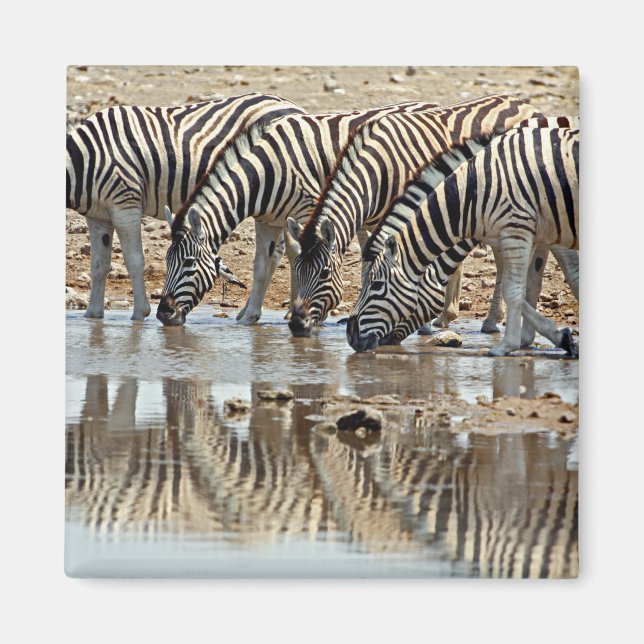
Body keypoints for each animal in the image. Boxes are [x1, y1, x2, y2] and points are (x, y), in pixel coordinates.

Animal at [66, 92, 302, 320]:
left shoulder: (125, 203)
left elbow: (134, 260)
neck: (86, 159)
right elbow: (99, 266)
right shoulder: (98, 217)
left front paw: (140, 314)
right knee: (280, 253)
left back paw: (288, 311)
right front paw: (93, 315)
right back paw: (257, 311)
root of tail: (293, 105)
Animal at [154, 100, 445, 327]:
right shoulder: (267, 221)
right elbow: (262, 267)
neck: (265, 172)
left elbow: (302, 259)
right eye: (167, 261)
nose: (163, 314)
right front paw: (250, 316)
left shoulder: (309, 211)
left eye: (188, 263)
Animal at [285, 94, 544, 338]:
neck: (379, 170)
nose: (297, 325)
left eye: (324, 274)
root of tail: (525, 103)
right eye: (296, 270)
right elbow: (371, 265)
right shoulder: (370, 223)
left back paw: (490, 321)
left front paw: (421, 325)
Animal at [347, 125, 579, 357]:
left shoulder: (521, 229)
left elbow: (521, 289)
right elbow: (527, 288)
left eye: (376, 285)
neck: (474, 194)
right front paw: (555, 337)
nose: (351, 337)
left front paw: (506, 345)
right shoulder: (533, 235)